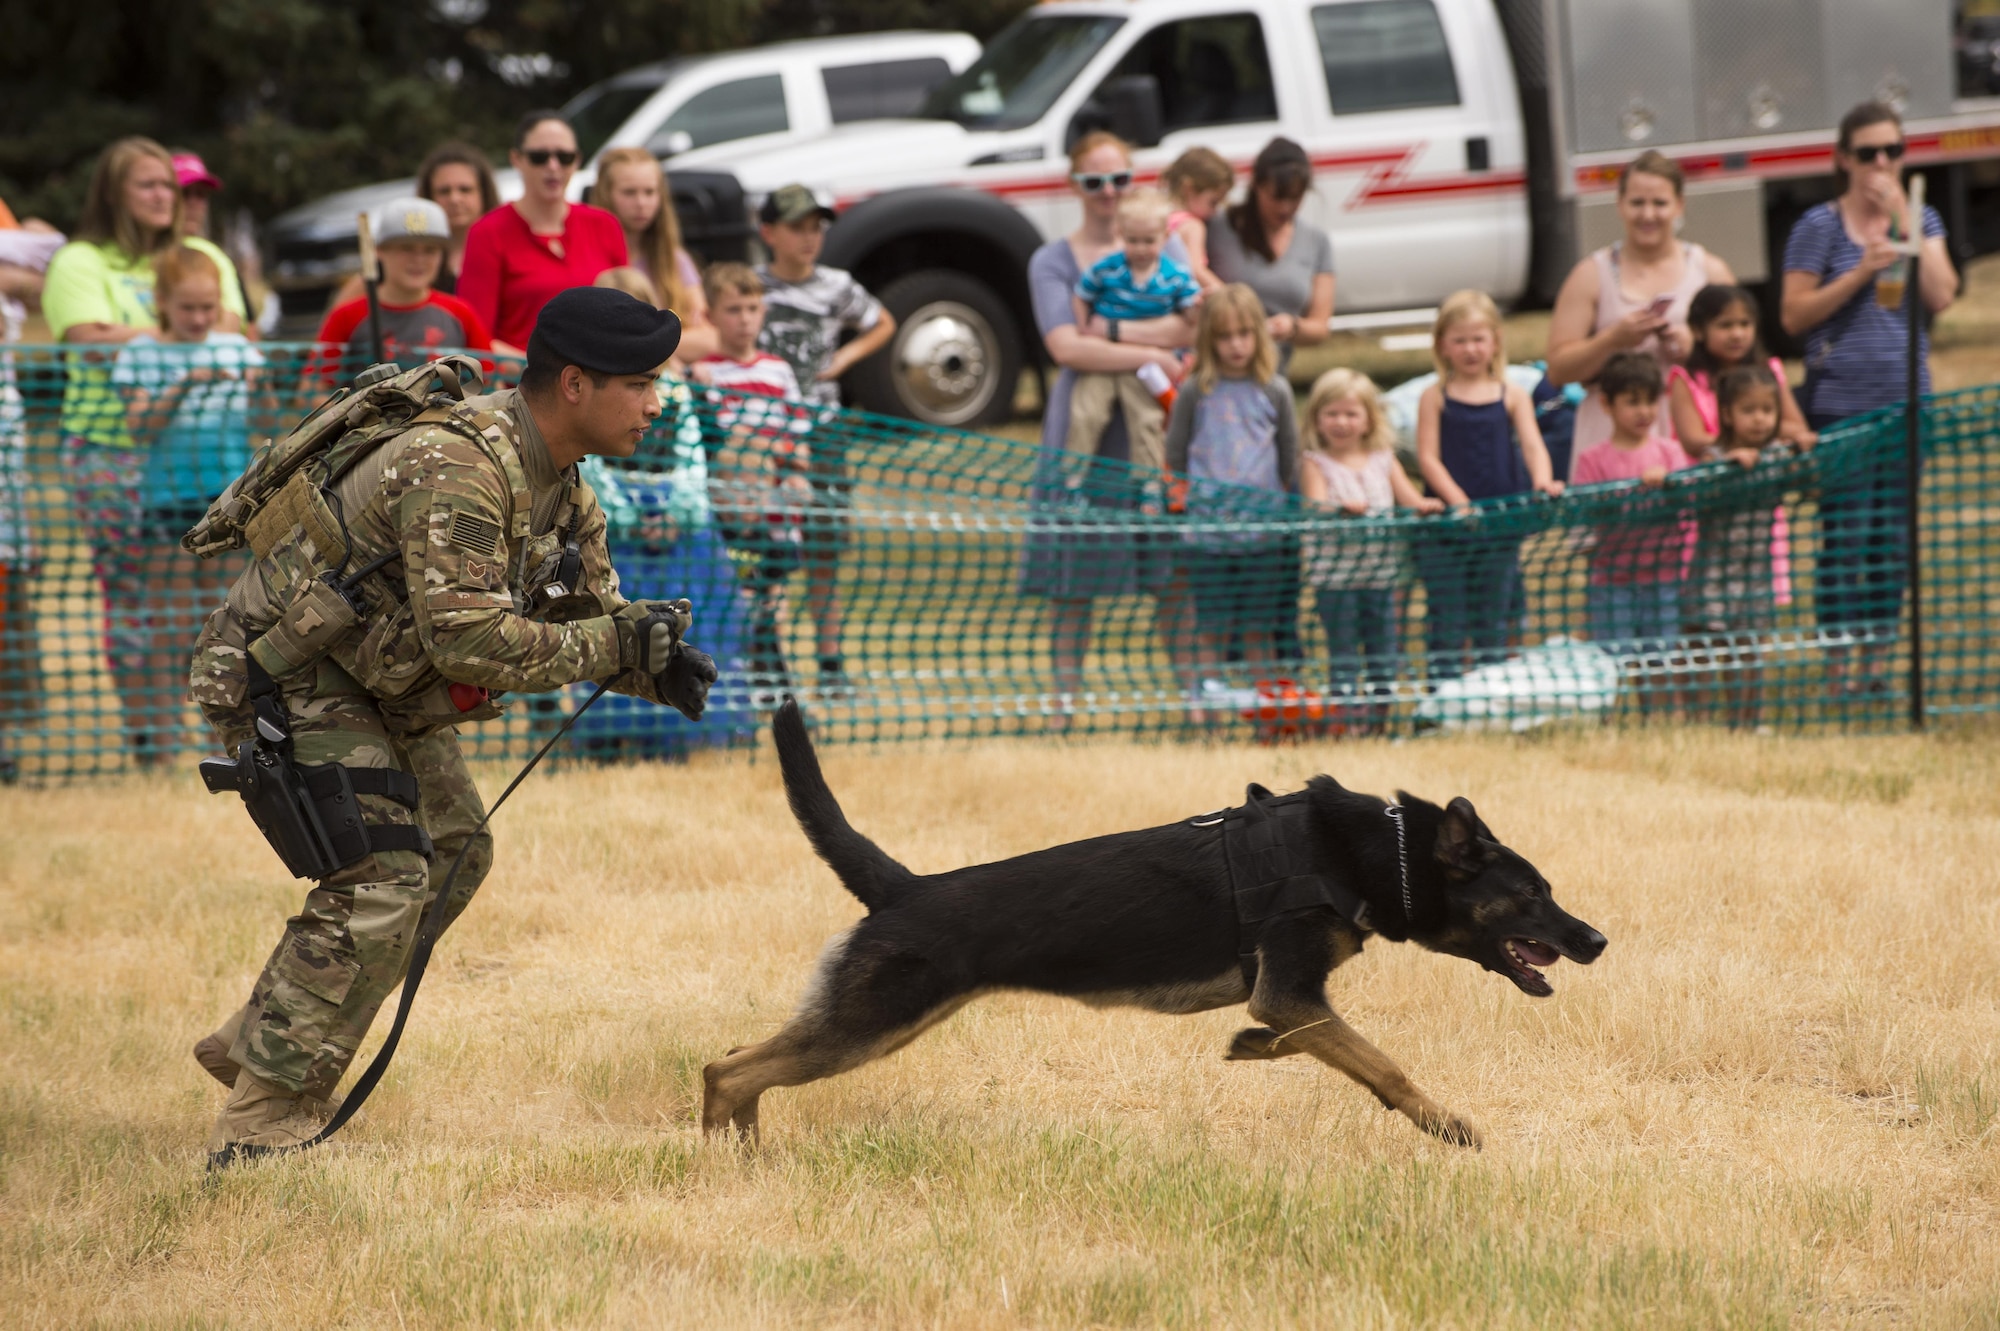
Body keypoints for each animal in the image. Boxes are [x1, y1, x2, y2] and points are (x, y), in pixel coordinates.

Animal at [704, 699, 1608, 1143]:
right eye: (1531, 894)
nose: (1597, 940)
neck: (1375, 852)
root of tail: (903, 887)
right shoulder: (1289, 989)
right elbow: (1382, 1064)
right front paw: (1447, 1125)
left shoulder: (1286, 998)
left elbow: (1306, 1039)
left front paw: (1249, 1048)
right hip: (872, 1021)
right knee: (728, 1068)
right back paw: (725, 1156)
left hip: (884, 1021)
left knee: (739, 1061)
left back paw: (741, 1150)